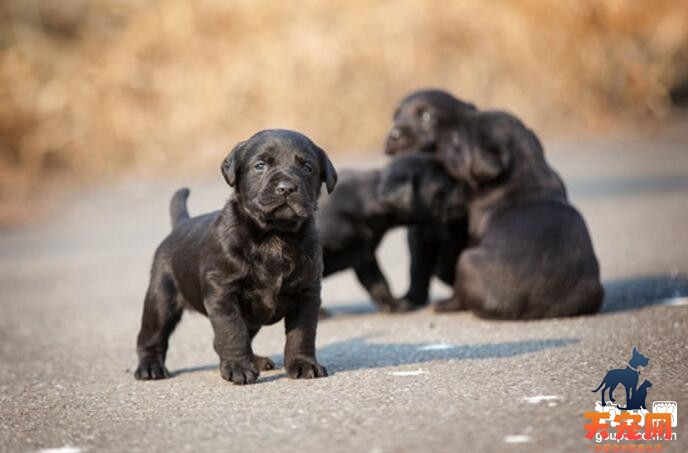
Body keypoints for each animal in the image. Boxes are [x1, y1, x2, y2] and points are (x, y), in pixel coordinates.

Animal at [134, 129, 336, 384]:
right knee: (151, 336)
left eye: (308, 167)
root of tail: (181, 223)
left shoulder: (306, 293)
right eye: (260, 165)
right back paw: (150, 367)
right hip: (160, 298)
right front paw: (239, 368)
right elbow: (232, 332)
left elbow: (302, 334)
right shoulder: (223, 293)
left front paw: (303, 364)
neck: (275, 235)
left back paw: (256, 360)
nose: (286, 187)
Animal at [382, 88, 478, 308]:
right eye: (395, 116)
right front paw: (410, 299)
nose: (394, 134)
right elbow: (417, 268)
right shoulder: (419, 235)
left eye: (428, 116)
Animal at [436, 111, 600, 318]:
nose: (441, 137)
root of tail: (534, 308)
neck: (525, 168)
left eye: (456, 140)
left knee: (460, 295)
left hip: (465, 260)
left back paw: (445, 305)